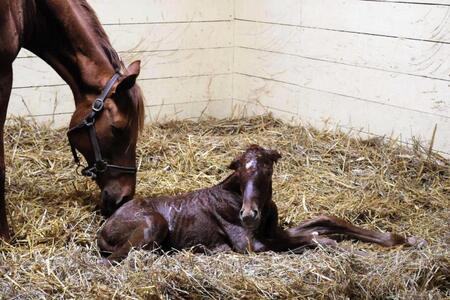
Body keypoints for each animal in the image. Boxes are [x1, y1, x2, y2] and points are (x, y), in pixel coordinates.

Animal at [97, 144, 422, 262]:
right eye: (240, 172)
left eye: (267, 169)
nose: (248, 215)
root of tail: (103, 229)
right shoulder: (251, 245)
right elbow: (315, 237)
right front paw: (348, 250)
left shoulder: (274, 232)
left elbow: (325, 222)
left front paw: (402, 239)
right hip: (154, 223)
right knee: (115, 259)